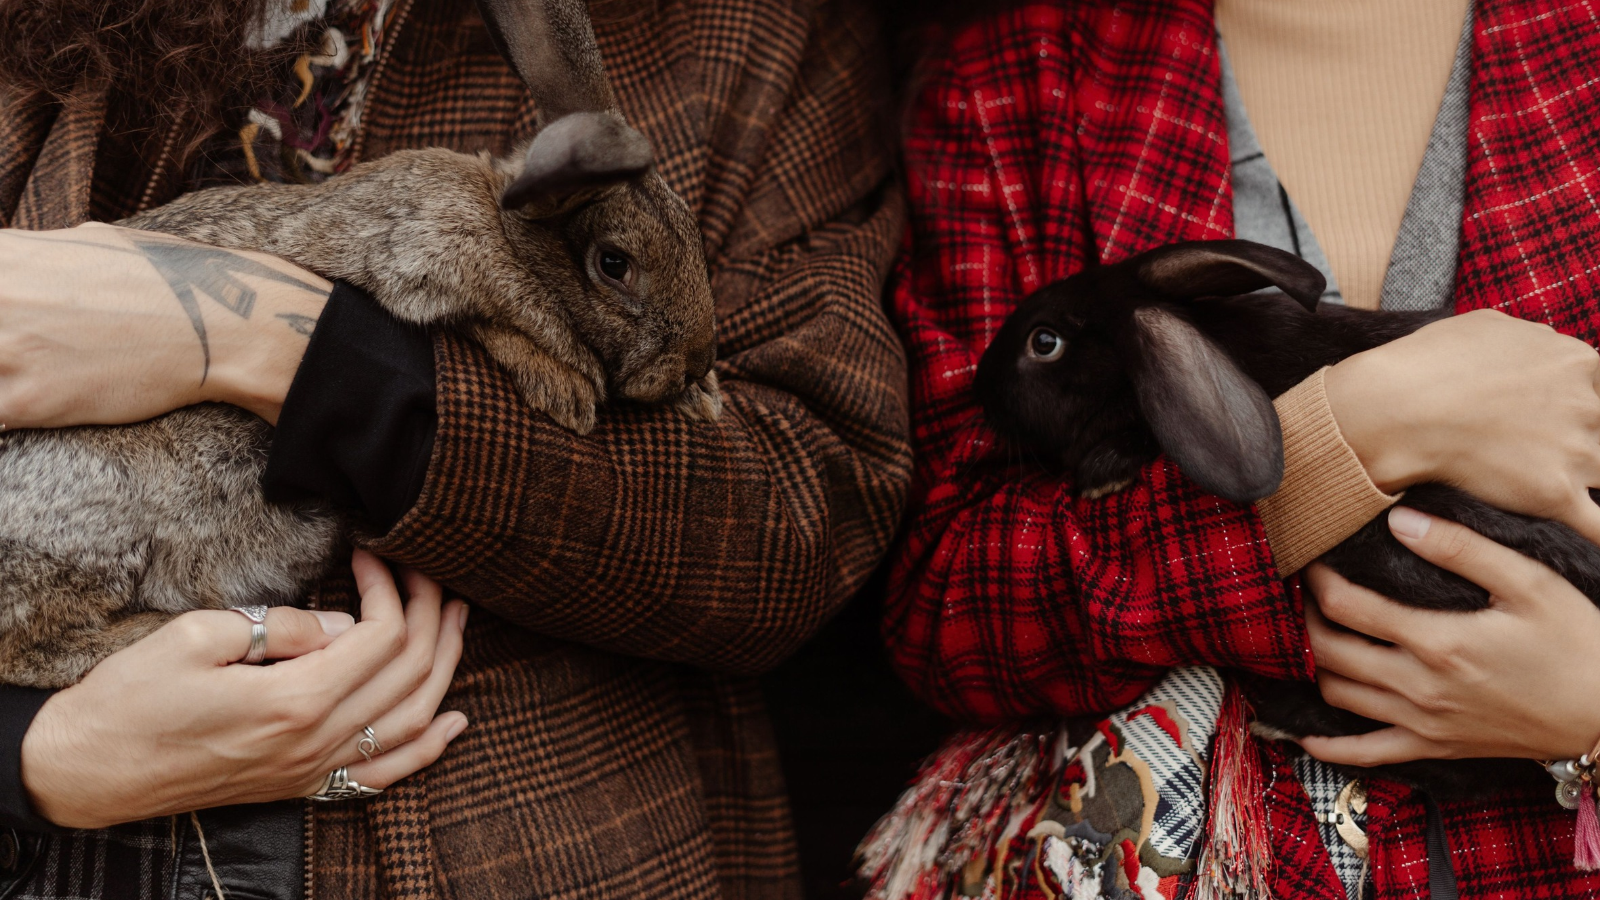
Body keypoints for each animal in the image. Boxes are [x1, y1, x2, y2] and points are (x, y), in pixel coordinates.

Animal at [0, 0, 718, 689]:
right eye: (614, 265)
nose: (696, 362)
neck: (508, 227)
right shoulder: (416, 259)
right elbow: (491, 323)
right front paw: (567, 389)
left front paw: (703, 402)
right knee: (31, 649)